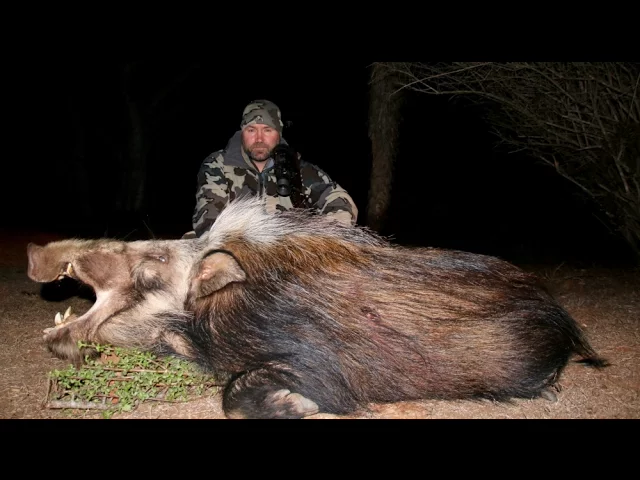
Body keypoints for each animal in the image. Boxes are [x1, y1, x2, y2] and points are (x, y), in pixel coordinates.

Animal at [27, 195, 608, 419]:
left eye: (151, 268)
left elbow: (235, 395)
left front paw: (296, 405)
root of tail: (567, 323)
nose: (36, 252)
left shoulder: (318, 364)